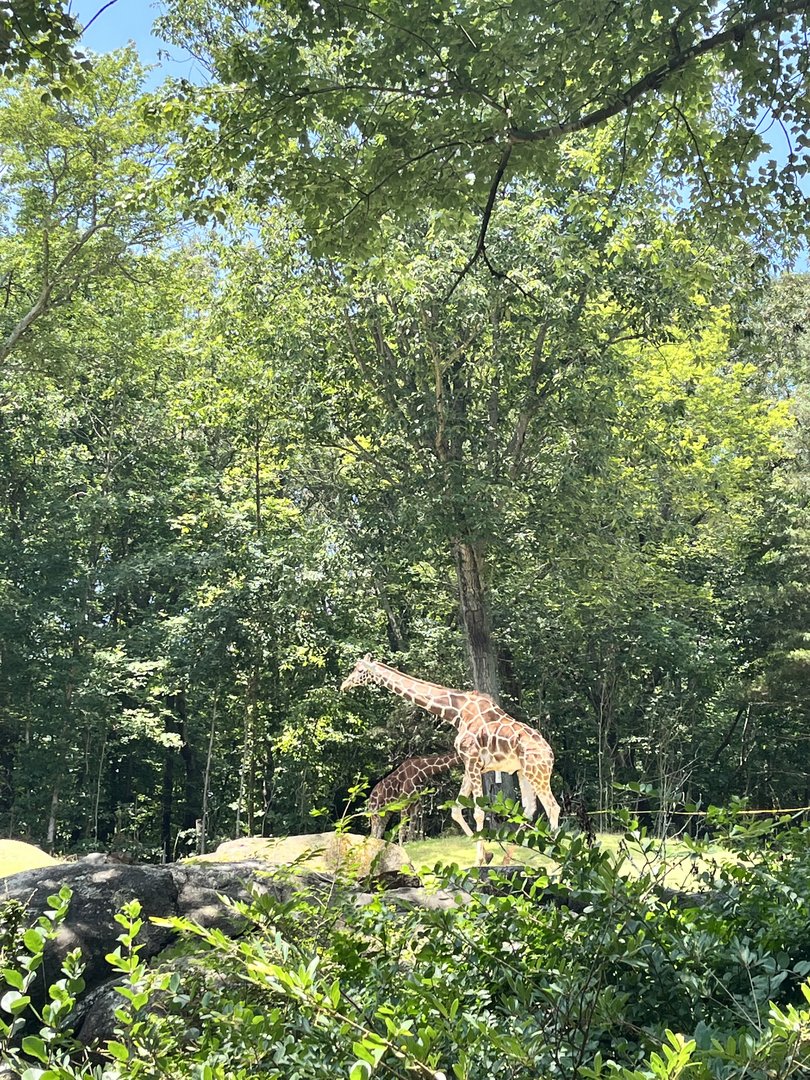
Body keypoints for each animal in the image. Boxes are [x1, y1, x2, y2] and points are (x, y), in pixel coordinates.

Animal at [341, 655, 561, 864]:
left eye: (359, 670)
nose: (345, 685)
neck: (456, 712)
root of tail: (550, 754)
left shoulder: (472, 760)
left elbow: (478, 812)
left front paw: (480, 860)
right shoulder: (471, 765)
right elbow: (456, 809)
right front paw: (487, 856)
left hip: (537, 772)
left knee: (552, 807)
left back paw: (558, 858)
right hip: (523, 772)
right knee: (530, 809)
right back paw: (507, 860)